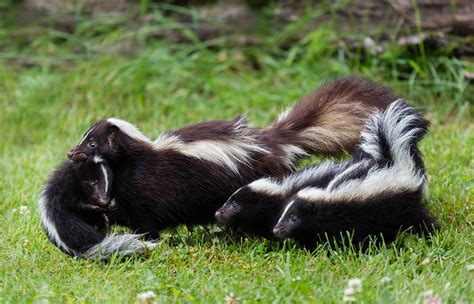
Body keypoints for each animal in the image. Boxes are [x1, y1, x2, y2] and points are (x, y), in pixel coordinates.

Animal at [58, 76, 392, 254]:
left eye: (92, 143)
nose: (71, 152)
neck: (136, 157)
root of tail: (276, 142)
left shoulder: (147, 186)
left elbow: (144, 217)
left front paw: (145, 239)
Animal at [272, 101, 438, 248]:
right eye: (284, 215)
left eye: (294, 218)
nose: (276, 229)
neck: (326, 198)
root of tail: (395, 163)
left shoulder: (350, 217)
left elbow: (350, 237)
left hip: (404, 204)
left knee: (419, 219)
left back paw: (432, 234)